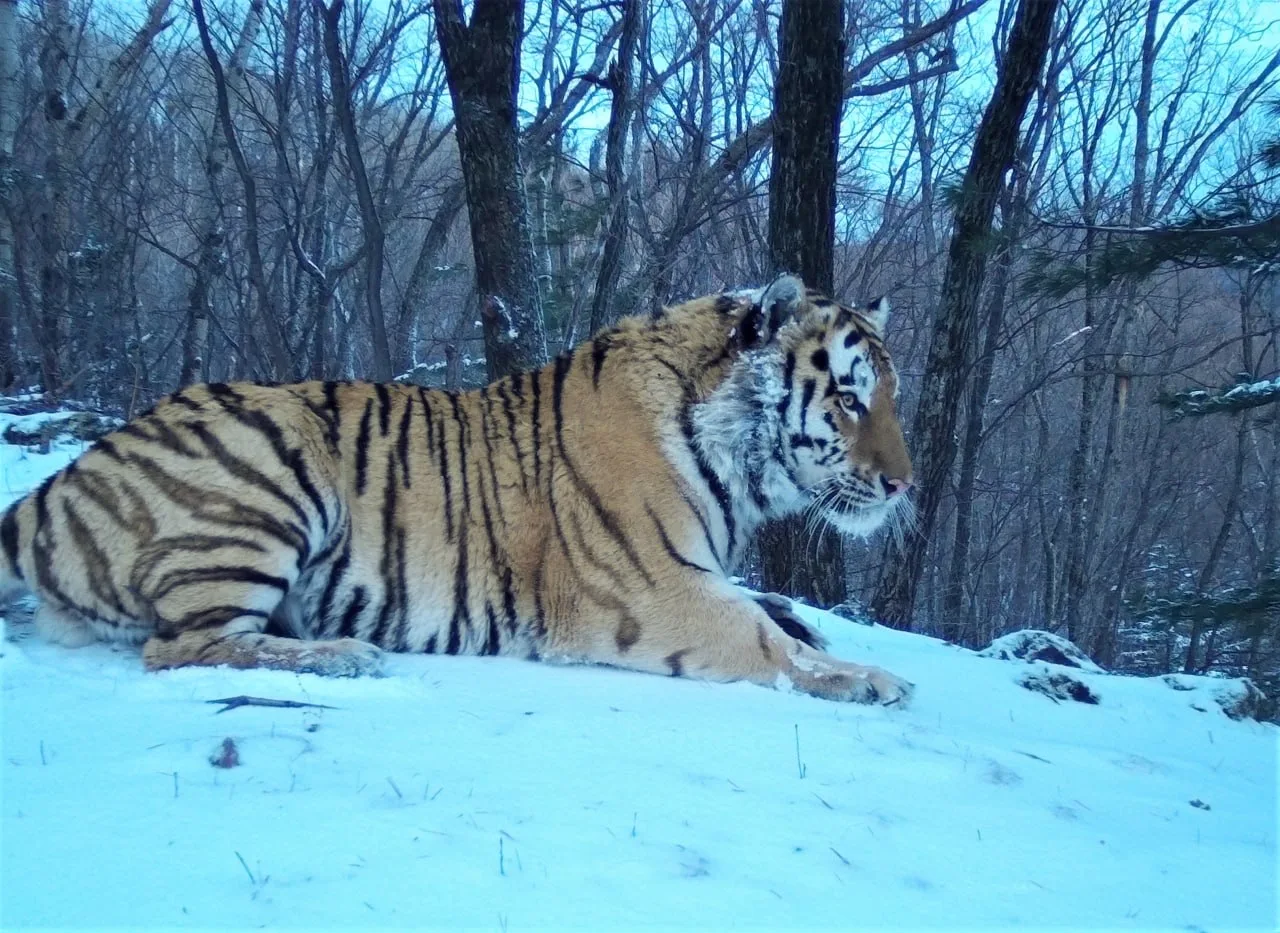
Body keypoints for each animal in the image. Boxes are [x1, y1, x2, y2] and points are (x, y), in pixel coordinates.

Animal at [0, 275, 915, 704]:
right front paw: (873, 677)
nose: (905, 484)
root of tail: (59, 480)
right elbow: (763, 639)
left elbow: (772, 609)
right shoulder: (649, 590)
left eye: (891, 393)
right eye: (849, 396)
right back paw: (342, 657)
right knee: (183, 647)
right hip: (269, 465)